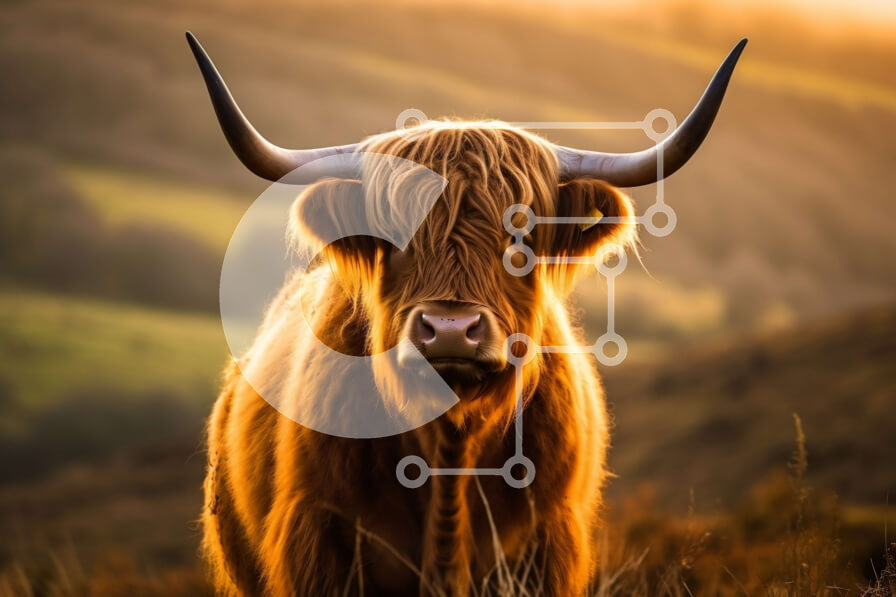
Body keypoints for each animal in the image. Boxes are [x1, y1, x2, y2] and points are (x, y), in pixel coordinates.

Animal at [186, 32, 745, 597]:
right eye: (394, 233)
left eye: (522, 235)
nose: (450, 330)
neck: (451, 445)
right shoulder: (320, 539)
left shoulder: (548, 542)